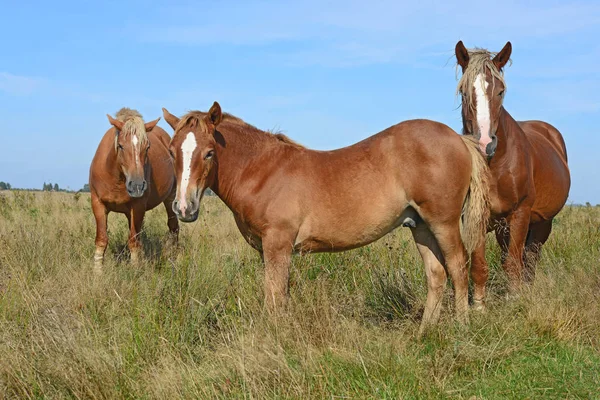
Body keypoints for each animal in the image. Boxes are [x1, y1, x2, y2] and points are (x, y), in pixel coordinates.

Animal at [88, 108, 178, 268]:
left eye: (147, 147)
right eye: (121, 146)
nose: (137, 186)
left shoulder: (138, 206)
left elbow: (133, 242)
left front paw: (135, 270)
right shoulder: (98, 204)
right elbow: (101, 240)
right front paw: (97, 271)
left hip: (170, 198)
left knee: (173, 227)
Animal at [162, 101, 490, 332]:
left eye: (209, 152)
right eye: (172, 152)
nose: (184, 207)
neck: (262, 171)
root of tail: (459, 139)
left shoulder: (278, 245)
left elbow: (274, 297)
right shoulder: (268, 250)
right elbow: (278, 295)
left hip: (443, 222)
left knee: (457, 266)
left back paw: (461, 328)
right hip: (419, 225)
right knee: (436, 274)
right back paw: (424, 333)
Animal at [454, 41, 572, 306]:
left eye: (500, 92)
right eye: (464, 93)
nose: (485, 144)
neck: (496, 165)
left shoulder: (520, 213)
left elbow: (513, 263)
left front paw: (515, 299)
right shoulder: (477, 215)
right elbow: (479, 264)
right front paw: (479, 306)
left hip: (542, 222)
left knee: (529, 259)